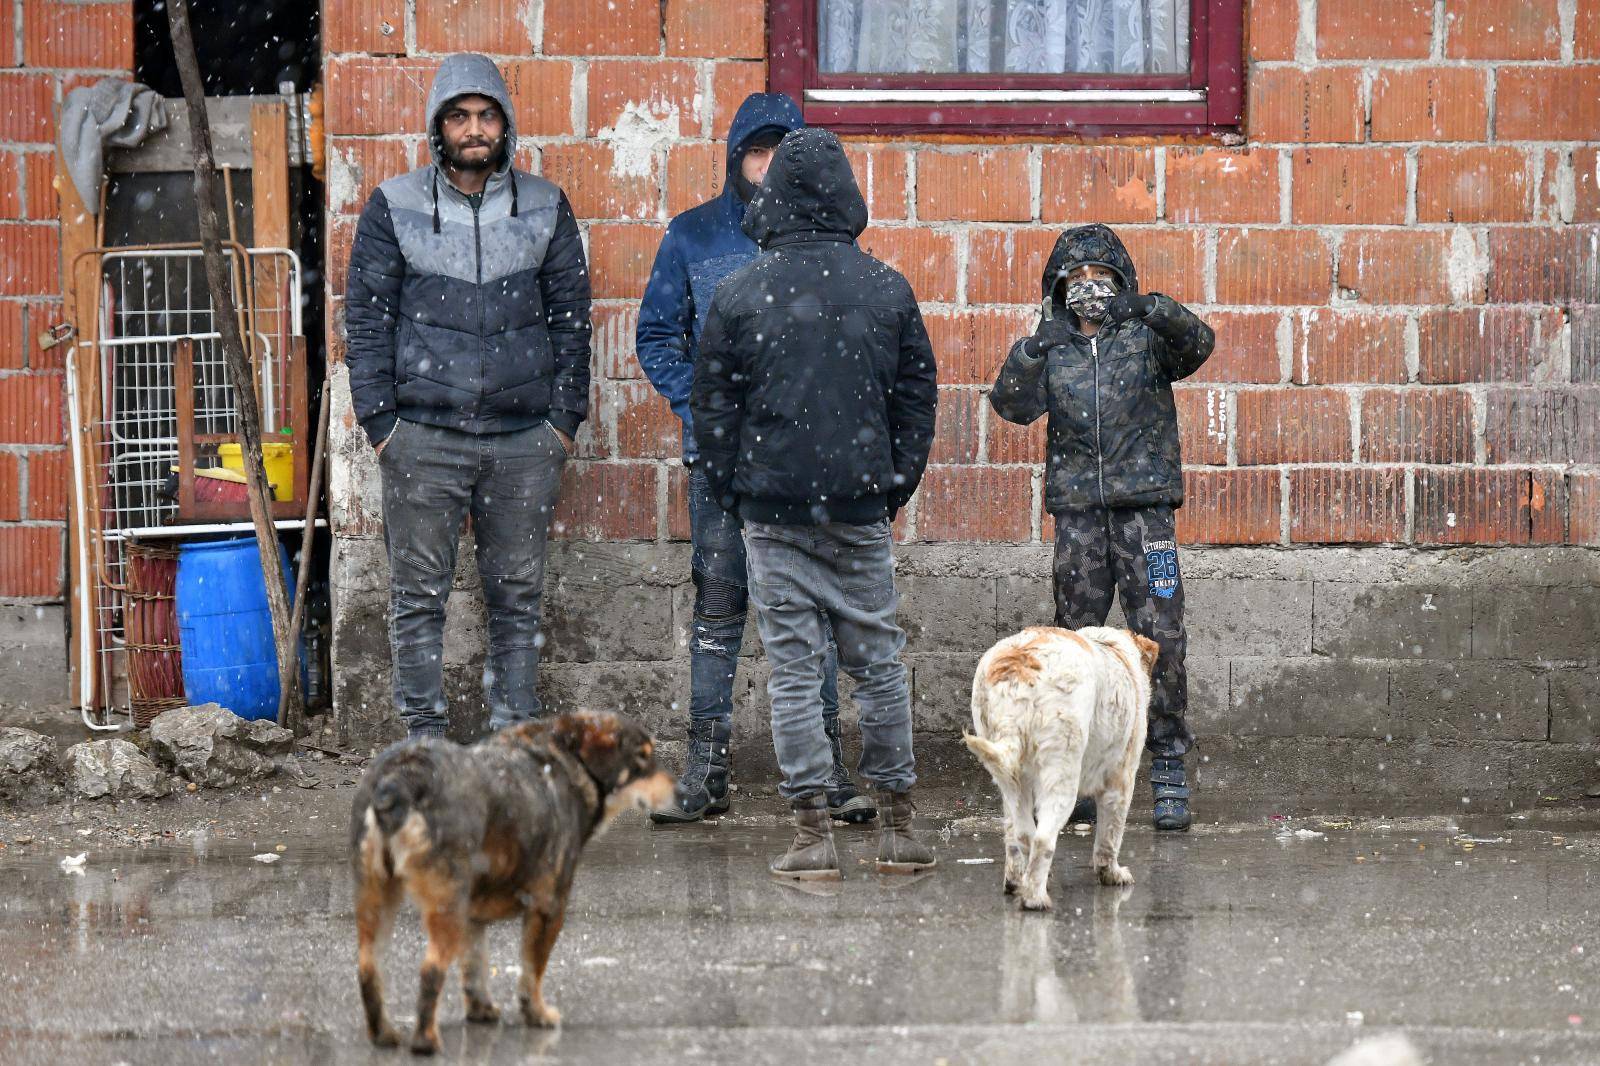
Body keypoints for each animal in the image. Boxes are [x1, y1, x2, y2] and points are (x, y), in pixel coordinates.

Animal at [347, 710, 672, 1049]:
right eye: (642, 757)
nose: (681, 791)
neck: (567, 758)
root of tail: (402, 776)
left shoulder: (473, 918)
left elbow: (474, 968)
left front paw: (480, 1011)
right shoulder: (549, 907)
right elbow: (531, 973)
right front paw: (537, 1014)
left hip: (375, 897)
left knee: (368, 969)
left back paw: (383, 1034)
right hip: (446, 905)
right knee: (431, 970)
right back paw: (426, 1041)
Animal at [960, 627, 1152, 909]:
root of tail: (1019, 668)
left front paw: (1014, 879)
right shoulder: (1121, 781)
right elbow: (1110, 837)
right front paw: (1113, 874)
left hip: (1009, 777)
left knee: (1022, 834)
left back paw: (1025, 881)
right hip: (1061, 773)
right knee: (1043, 839)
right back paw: (1035, 898)